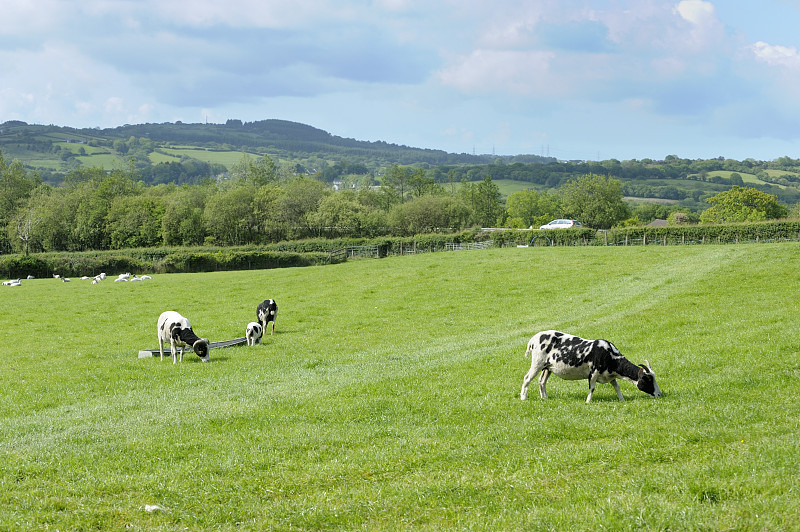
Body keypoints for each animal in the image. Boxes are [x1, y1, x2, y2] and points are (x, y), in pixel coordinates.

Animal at [520, 330, 664, 402]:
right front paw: (588, 402)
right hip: (537, 362)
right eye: (647, 379)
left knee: (541, 381)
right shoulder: (593, 373)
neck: (611, 358)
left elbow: (616, 387)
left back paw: (544, 398)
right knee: (527, 378)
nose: (659, 394)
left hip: (547, 367)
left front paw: (622, 399)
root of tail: (533, 339)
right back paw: (523, 398)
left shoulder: (610, 375)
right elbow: (592, 388)